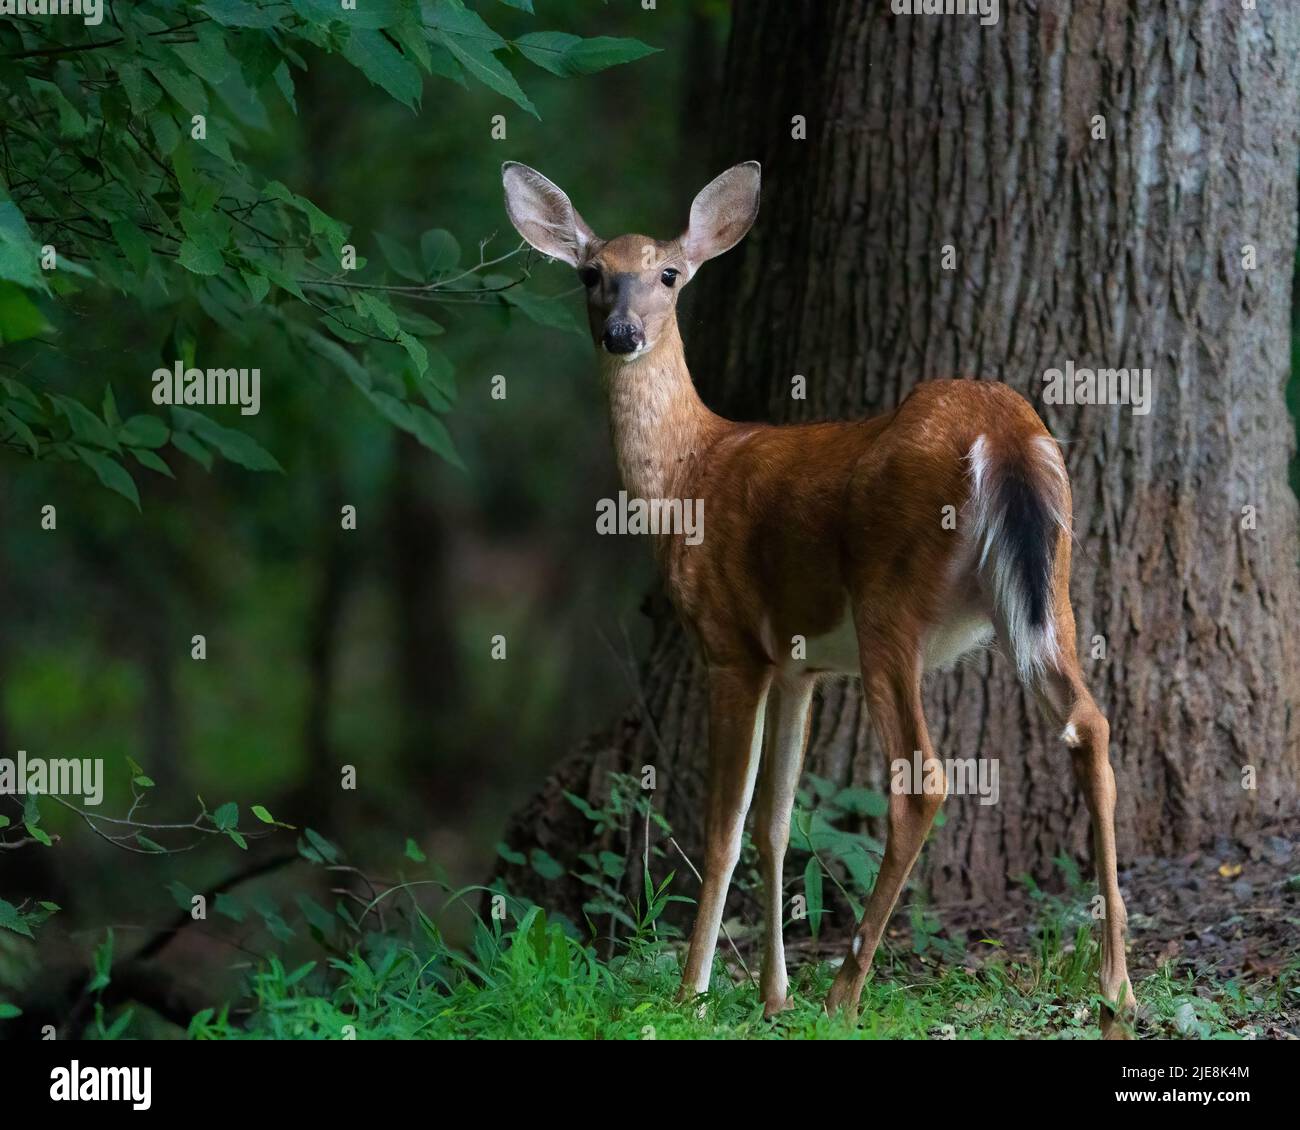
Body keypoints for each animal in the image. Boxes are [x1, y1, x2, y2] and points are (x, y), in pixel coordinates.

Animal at [501, 161, 1133, 1040]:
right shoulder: (800, 666)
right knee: (1090, 725)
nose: (622, 333)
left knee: (923, 778)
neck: (687, 474)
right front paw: (773, 996)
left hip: (888, 601)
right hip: (1050, 589)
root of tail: (1005, 433)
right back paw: (1118, 983)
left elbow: (725, 827)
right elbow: (776, 823)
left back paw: (847, 989)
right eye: (592, 274)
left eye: (669, 274)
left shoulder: (731, 644)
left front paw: (693, 991)